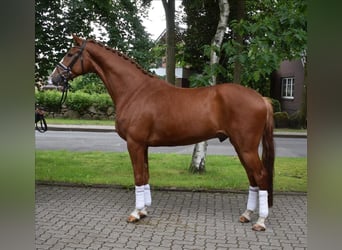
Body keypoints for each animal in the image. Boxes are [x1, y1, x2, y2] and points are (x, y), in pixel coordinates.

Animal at [48, 34, 276, 230]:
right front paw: (143, 211)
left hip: (246, 147)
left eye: (70, 53)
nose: (53, 79)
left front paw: (135, 213)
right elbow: (145, 174)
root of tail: (261, 99)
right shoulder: (143, 145)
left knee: (261, 175)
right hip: (241, 146)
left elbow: (138, 176)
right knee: (252, 177)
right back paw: (247, 215)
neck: (134, 91)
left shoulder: (134, 143)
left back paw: (260, 221)